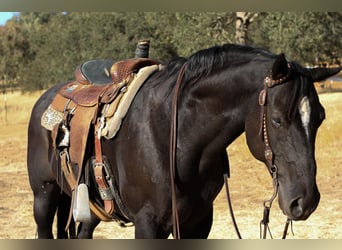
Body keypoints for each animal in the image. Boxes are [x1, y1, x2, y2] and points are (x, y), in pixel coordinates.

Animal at [27, 43, 342, 238]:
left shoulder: (199, 221)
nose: (305, 201)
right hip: (44, 194)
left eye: (320, 118)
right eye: (277, 119)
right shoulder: (148, 224)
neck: (176, 139)